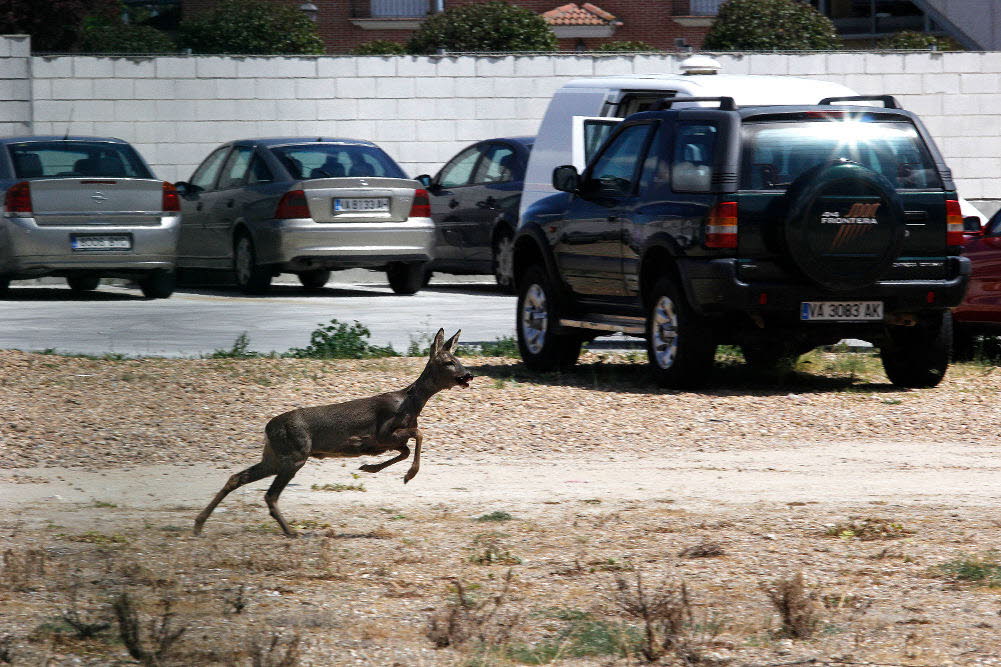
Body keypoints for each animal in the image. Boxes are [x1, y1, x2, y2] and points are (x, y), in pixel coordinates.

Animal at [197, 326, 474, 536]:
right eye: (449, 362)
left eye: (459, 360)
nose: (469, 375)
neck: (411, 404)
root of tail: (267, 428)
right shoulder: (382, 432)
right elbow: (419, 435)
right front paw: (409, 475)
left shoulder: (386, 441)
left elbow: (406, 448)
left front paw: (370, 468)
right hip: (295, 454)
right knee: (270, 495)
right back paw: (291, 532)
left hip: (275, 456)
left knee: (238, 478)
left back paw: (199, 525)